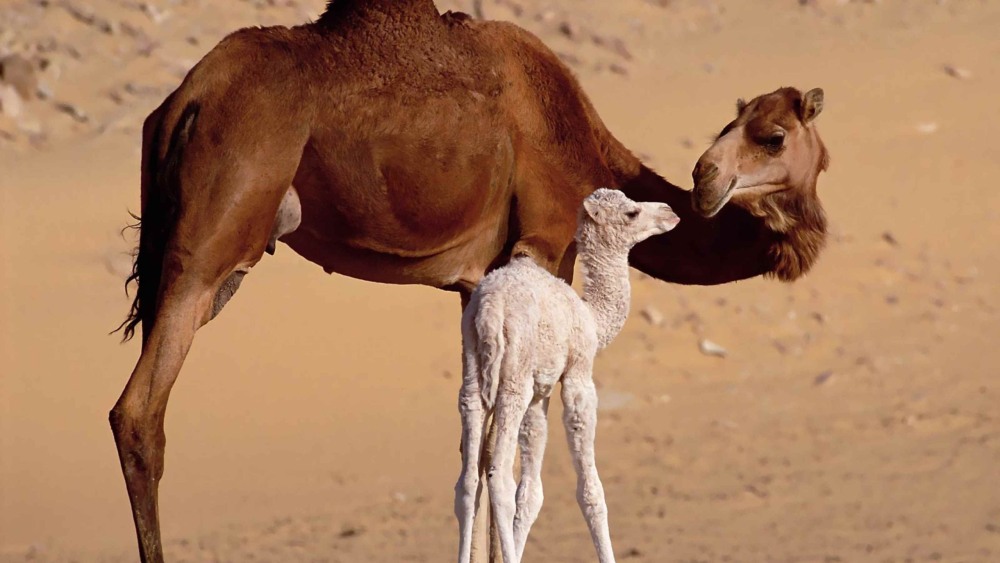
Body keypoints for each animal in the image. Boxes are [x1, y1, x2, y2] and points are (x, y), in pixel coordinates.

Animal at [457, 189, 680, 563]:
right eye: (632, 212)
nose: (670, 212)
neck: (591, 317)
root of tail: (490, 310)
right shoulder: (578, 375)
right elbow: (591, 491)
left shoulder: (541, 391)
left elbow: (531, 492)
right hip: (513, 378)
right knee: (498, 476)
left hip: (473, 372)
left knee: (467, 481)